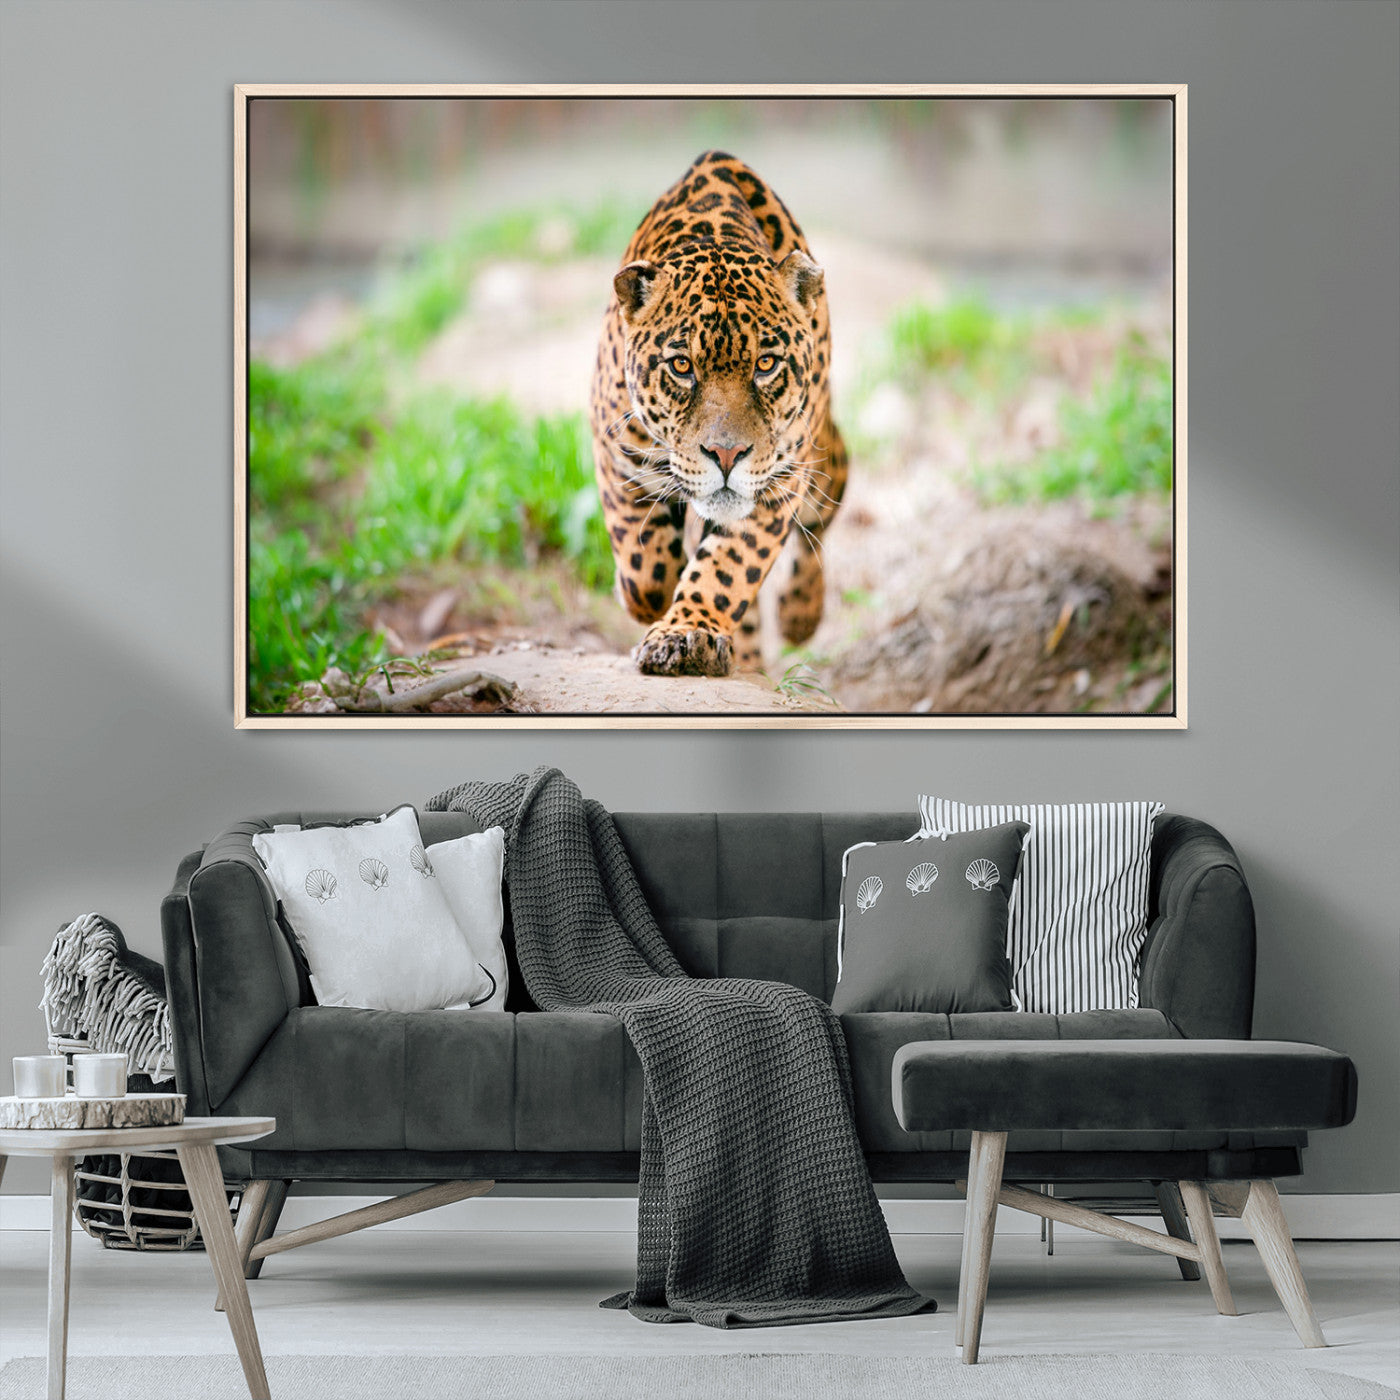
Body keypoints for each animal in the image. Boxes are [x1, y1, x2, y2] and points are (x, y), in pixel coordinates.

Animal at [589, 150, 847, 678]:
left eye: (766, 364)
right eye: (681, 366)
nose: (726, 455)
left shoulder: (777, 483)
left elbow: (726, 569)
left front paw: (687, 633)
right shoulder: (615, 452)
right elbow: (644, 567)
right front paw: (647, 599)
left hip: (822, 461)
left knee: (823, 512)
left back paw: (799, 615)